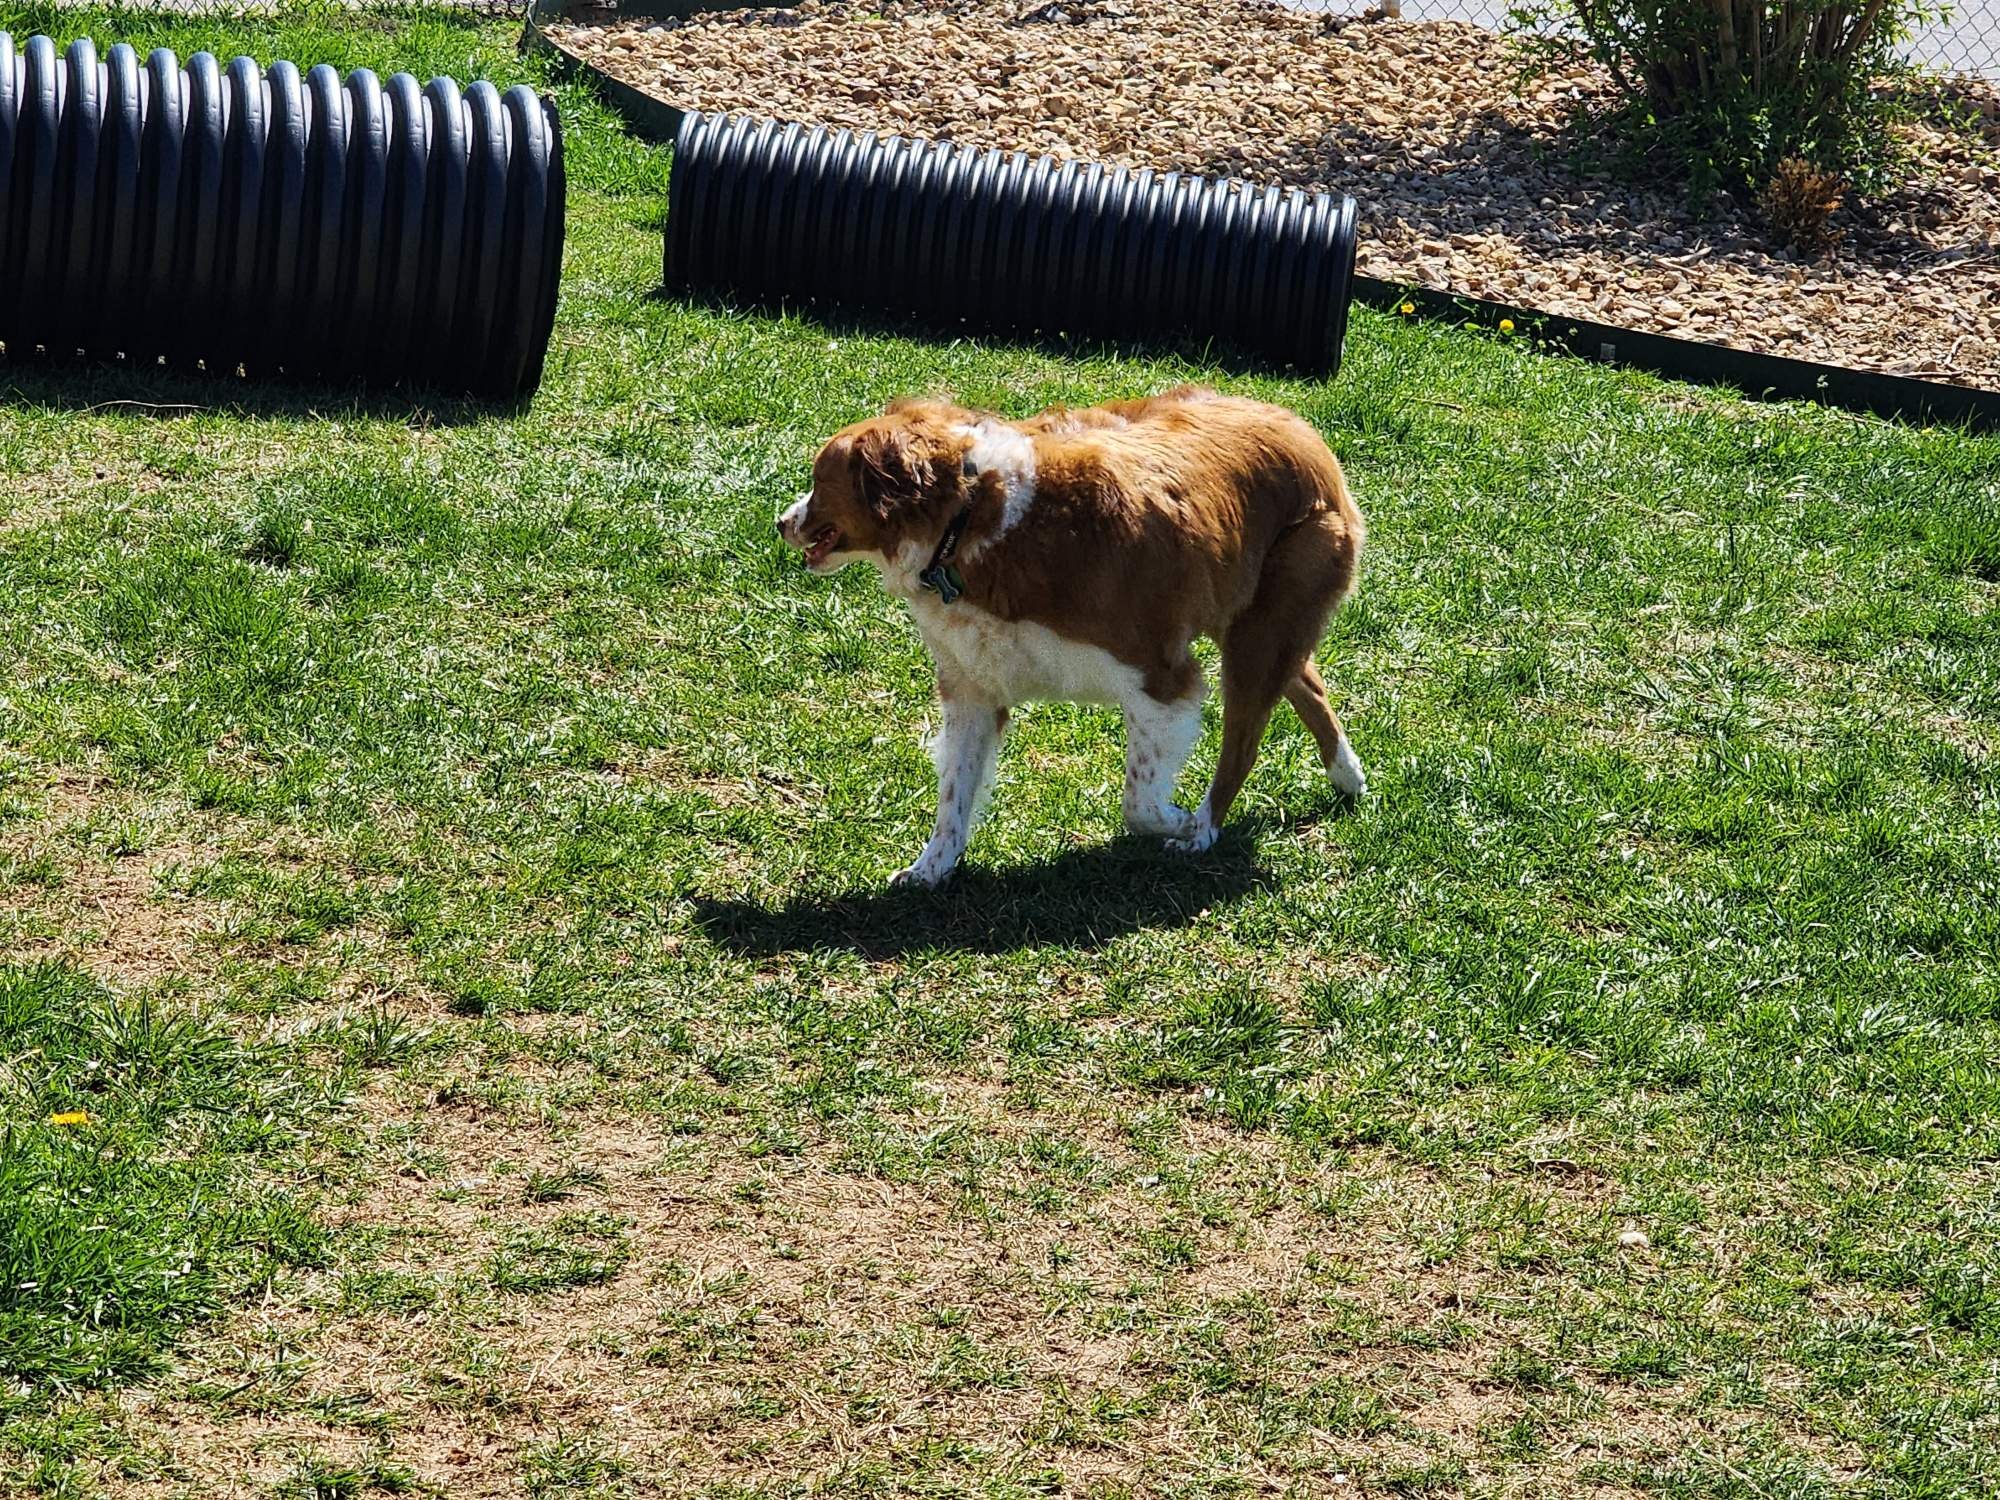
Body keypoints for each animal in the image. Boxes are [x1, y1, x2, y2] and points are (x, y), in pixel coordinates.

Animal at [772, 384, 1368, 892]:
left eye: (820, 482)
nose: (780, 522)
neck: (968, 521)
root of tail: (1298, 425)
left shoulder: (1161, 677)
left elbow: (1140, 804)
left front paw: (1179, 822)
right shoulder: (971, 690)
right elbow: (954, 795)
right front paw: (932, 869)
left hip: (1257, 637)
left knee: (1243, 745)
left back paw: (1204, 827)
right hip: (1250, 624)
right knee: (1309, 685)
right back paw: (1348, 777)